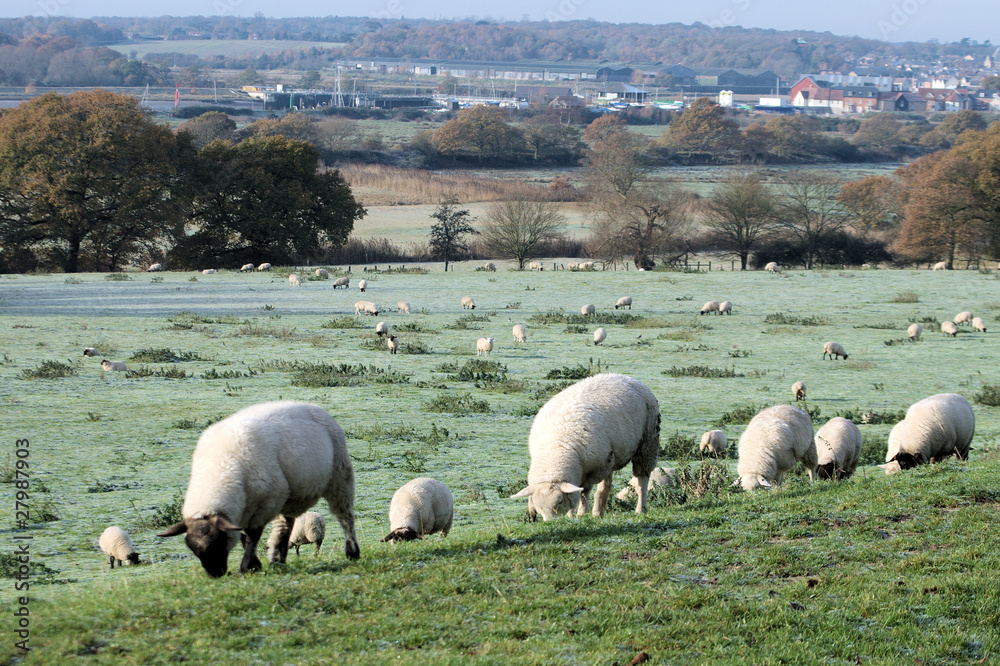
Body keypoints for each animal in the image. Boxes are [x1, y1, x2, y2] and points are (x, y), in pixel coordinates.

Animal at [157, 401, 359, 578]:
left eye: (218, 541)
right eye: (191, 547)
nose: (215, 574)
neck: (221, 467)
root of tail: (312, 405)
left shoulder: (265, 505)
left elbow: (252, 536)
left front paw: (246, 567)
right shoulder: (242, 512)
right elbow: (243, 537)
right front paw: (255, 565)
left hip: (339, 476)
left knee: (345, 517)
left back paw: (352, 552)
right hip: (290, 496)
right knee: (285, 525)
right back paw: (278, 559)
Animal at [511, 373, 659, 520]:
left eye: (559, 501)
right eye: (538, 506)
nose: (550, 522)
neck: (557, 446)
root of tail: (624, 376)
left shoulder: (594, 468)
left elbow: (584, 491)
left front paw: (581, 512)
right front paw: (571, 515)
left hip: (647, 443)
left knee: (642, 481)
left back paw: (639, 509)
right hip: (610, 456)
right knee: (606, 484)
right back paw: (599, 511)